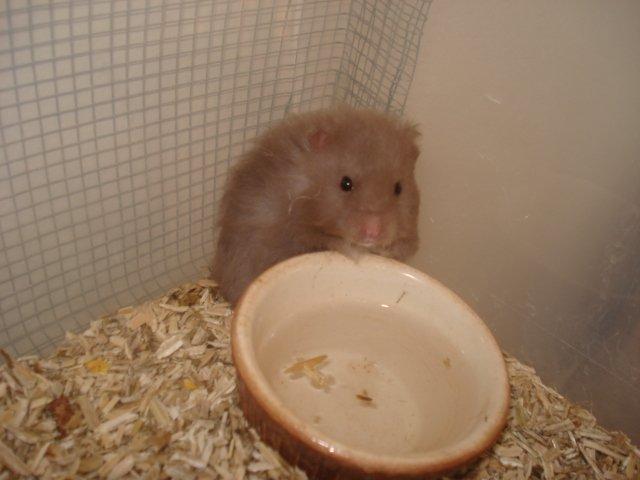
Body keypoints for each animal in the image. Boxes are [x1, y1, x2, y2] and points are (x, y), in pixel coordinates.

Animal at [211, 105, 421, 305]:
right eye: (345, 183)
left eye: (399, 188)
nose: (373, 233)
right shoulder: (295, 233)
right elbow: (325, 241)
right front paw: (355, 252)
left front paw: (384, 251)